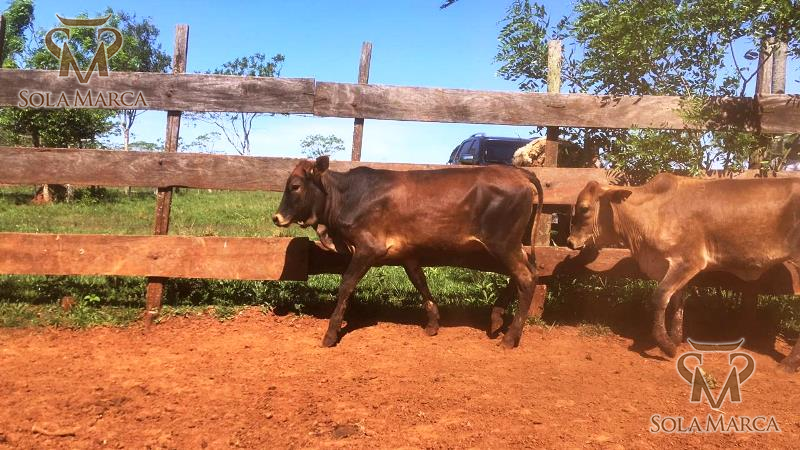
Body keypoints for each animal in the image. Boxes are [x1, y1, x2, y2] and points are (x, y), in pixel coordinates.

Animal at [272, 156, 543, 349]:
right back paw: (496, 319)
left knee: (526, 278)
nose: (276, 217)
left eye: (295, 186)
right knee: (526, 272)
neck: (347, 196)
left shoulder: (367, 249)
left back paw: (510, 338)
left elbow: (346, 285)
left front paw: (330, 334)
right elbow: (420, 282)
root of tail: (518, 172)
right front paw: (433, 324)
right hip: (510, 246)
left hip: (503, 245)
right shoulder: (408, 254)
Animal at [566, 173, 800, 372]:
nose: (570, 241)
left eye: (584, 208)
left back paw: (788, 364)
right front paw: (676, 338)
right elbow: (678, 300)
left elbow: (660, 297)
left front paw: (666, 346)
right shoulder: (675, 267)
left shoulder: (689, 261)